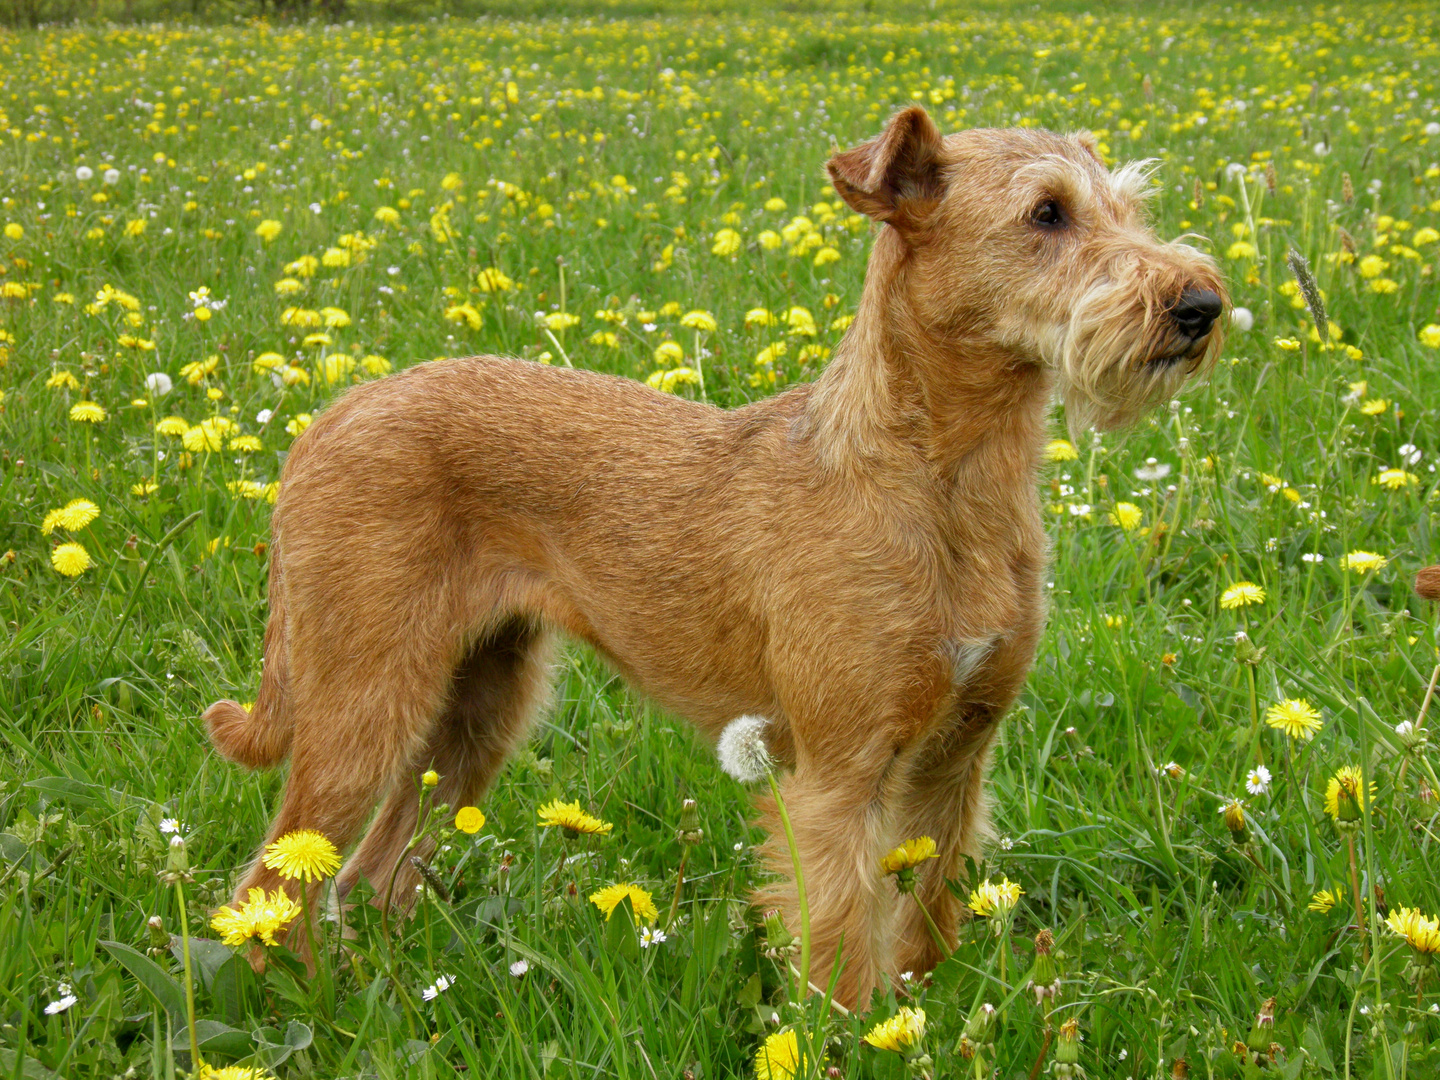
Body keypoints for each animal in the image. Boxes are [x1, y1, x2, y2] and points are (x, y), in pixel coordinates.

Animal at [208, 105, 1226, 1013]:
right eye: (1047, 213)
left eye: (1130, 207)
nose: (1202, 304)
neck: (940, 480)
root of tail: (324, 421)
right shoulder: (837, 776)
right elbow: (842, 949)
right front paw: (864, 1038)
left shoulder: (957, 757)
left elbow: (927, 921)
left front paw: (926, 1015)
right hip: (363, 703)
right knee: (273, 883)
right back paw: (301, 1006)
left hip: (479, 710)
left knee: (370, 875)